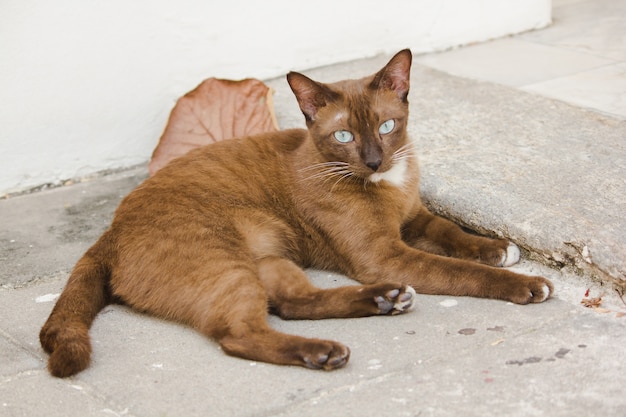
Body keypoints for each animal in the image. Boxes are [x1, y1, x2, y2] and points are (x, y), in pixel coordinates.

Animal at [39, 49, 548, 376]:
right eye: (344, 136)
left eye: (387, 126)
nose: (373, 161)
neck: (388, 185)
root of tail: (108, 231)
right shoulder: (386, 254)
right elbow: (465, 272)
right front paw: (528, 285)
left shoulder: (414, 219)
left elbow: (454, 234)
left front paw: (501, 248)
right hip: (226, 264)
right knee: (238, 333)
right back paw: (326, 352)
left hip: (270, 258)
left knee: (290, 304)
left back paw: (382, 302)